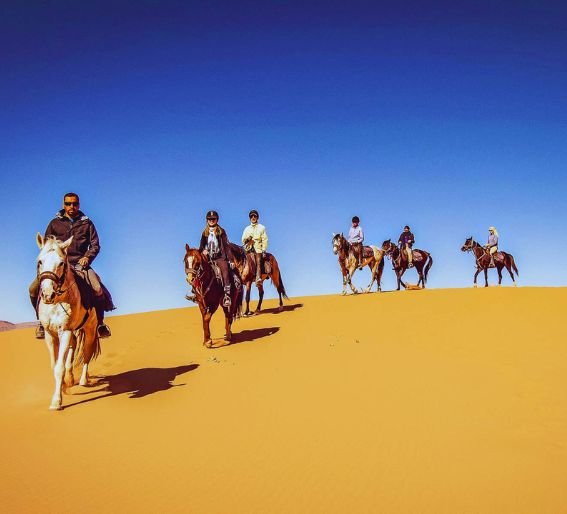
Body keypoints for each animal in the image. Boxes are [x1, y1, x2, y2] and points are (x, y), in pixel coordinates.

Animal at [35, 233, 101, 408]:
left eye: (61, 263)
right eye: (40, 261)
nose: (47, 294)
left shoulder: (64, 331)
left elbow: (59, 367)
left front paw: (56, 401)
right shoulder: (50, 334)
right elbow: (55, 365)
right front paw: (64, 386)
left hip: (90, 330)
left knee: (86, 353)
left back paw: (84, 379)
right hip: (74, 331)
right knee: (73, 349)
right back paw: (71, 378)